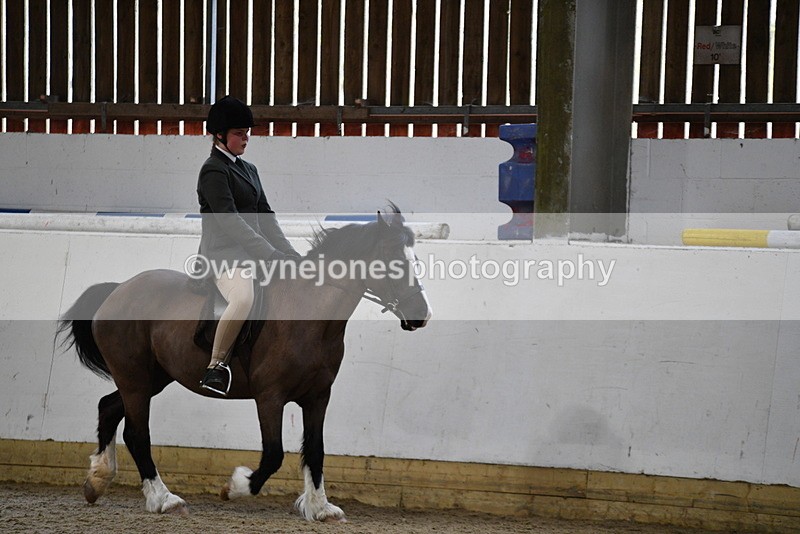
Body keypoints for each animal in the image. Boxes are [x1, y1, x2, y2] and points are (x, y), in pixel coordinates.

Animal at [56, 207, 431, 521]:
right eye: (393, 260)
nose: (422, 315)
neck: (310, 314)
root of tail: (118, 289)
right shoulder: (270, 397)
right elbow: (274, 453)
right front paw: (235, 487)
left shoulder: (317, 396)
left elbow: (316, 450)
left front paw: (320, 507)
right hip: (134, 378)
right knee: (137, 434)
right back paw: (164, 499)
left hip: (150, 378)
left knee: (109, 408)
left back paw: (97, 481)